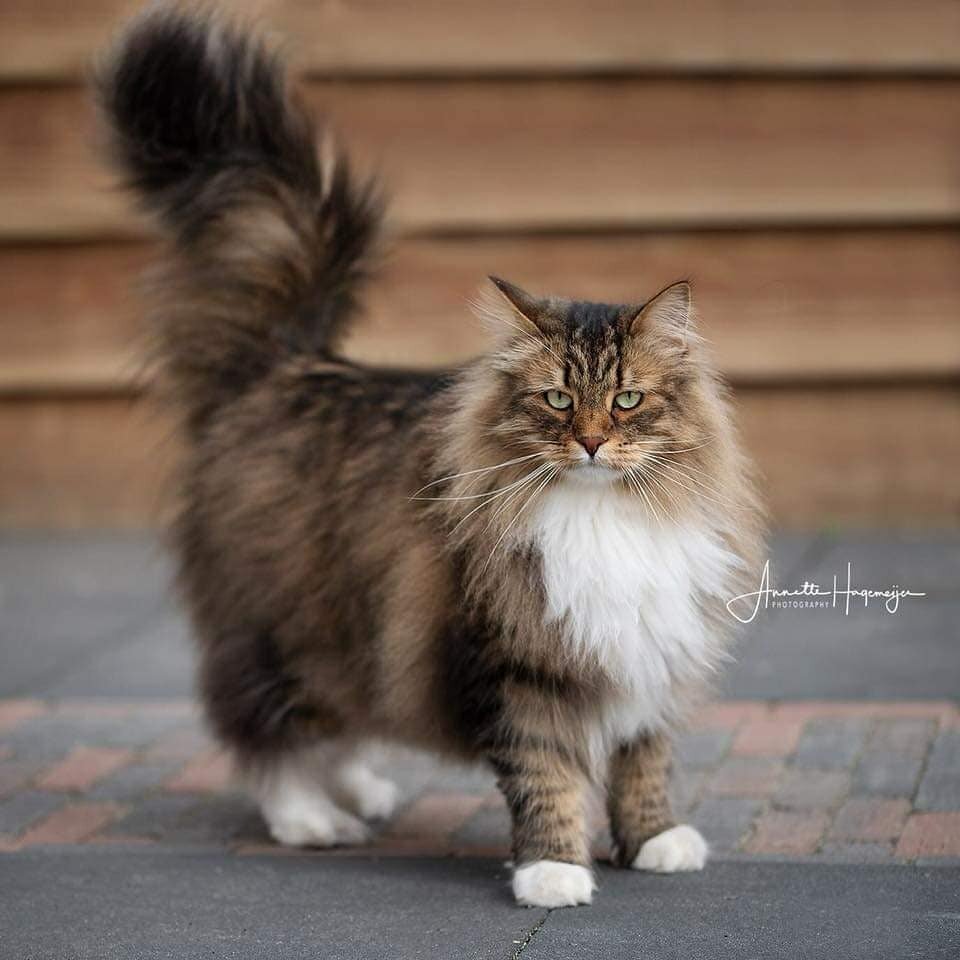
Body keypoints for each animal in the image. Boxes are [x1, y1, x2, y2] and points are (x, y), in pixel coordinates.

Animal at [99, 5, 764, 908]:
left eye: (626, 400)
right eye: (558, 401)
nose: (592, 441)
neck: (603, 516)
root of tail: (287, 363)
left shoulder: (648, 652)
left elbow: (643, 762)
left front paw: (657, 841)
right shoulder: (515, 659)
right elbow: (547, 777)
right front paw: (554, 872)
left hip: (360, 630)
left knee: (339, 723)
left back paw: (364, 792)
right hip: (286, 623)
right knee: (267, 734)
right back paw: (314, 820)